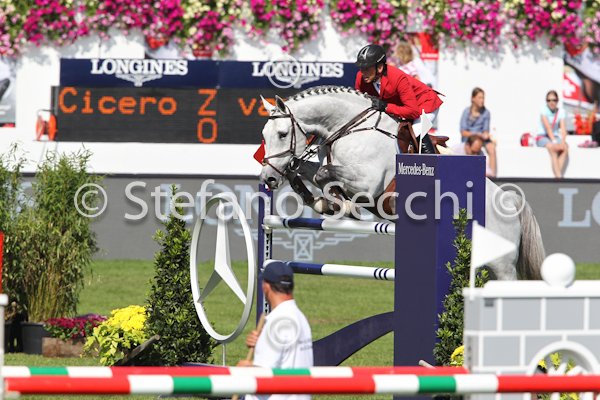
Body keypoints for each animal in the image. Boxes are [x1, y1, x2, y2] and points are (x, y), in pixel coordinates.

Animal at [259, 86, 545, 280]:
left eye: (282, 134)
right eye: (263, 135)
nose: (268, 178)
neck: (347, 127)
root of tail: (510, 201)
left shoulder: (368, 182)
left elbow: (325, 175)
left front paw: (343, 206)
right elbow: (312, 172)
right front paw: (321, 201)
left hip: (502, 264)